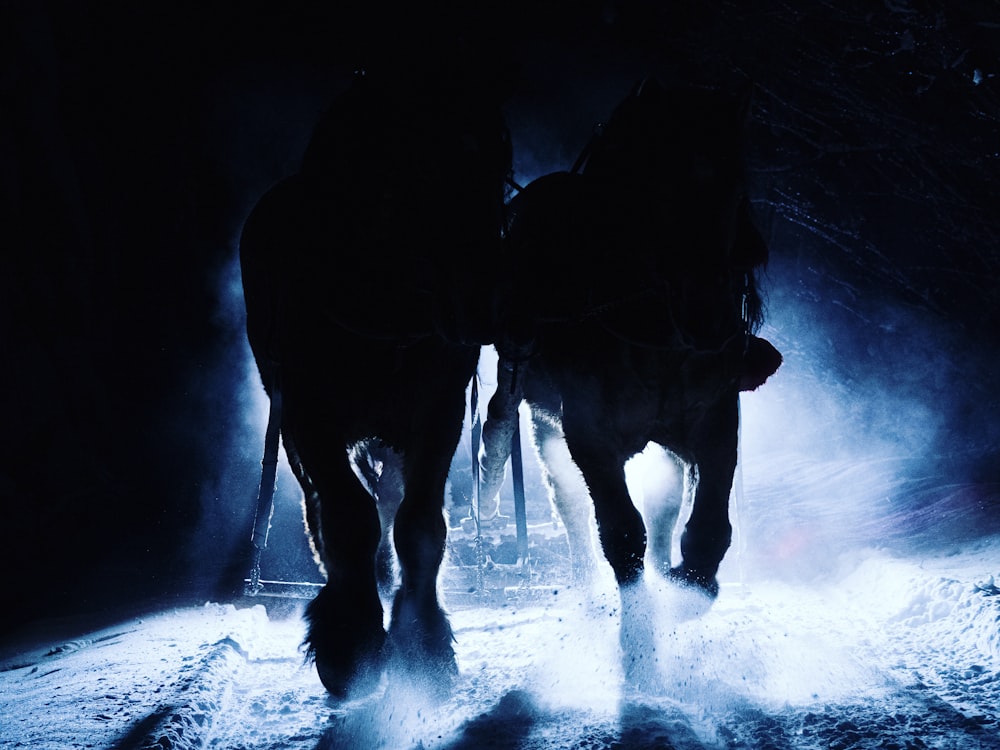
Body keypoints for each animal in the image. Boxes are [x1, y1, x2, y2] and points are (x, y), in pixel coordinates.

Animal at [238, 67, 512, 704]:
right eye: (416, 171)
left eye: (496, 164)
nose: (490, 302)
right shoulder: (308, 415)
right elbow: (345, 516)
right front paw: (350, 642)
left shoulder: (436, 414)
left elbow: (419, 524)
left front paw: (423, 643)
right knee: (327, 506)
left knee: (387, 499)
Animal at [476, 81, 780, 680]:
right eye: (653, 194)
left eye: (734, 191)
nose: (709, 321)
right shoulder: (589, 436)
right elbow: (620, 533)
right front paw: (640, 645)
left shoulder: (713, 422)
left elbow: (707, 526)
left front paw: (684, 591)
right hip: (538, 409)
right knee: (561, 494)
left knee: (661, 502)